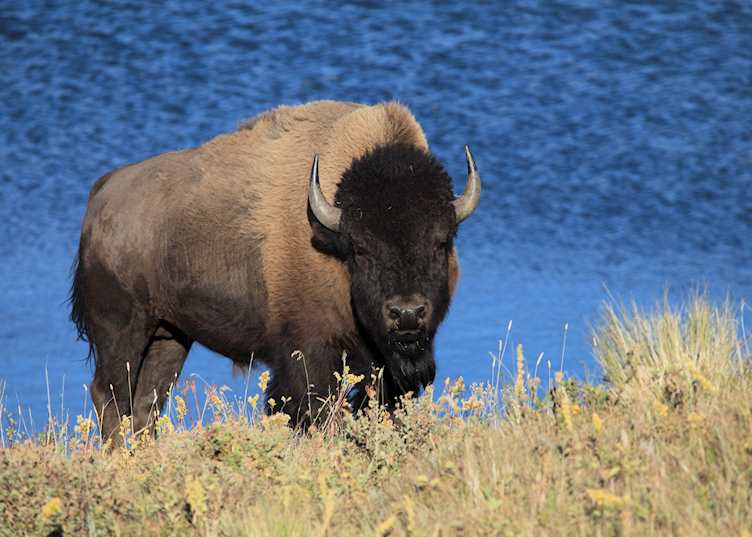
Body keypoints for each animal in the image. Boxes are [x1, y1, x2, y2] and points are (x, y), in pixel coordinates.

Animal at [70, 100, 480, 440]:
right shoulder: (307, 356)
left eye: (441, 241)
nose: (407, 313)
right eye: (360, 248)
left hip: (169, 336)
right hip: (122, 332)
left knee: (146, 402)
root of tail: (102, 194)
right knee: (110, 396)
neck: (331, 239)